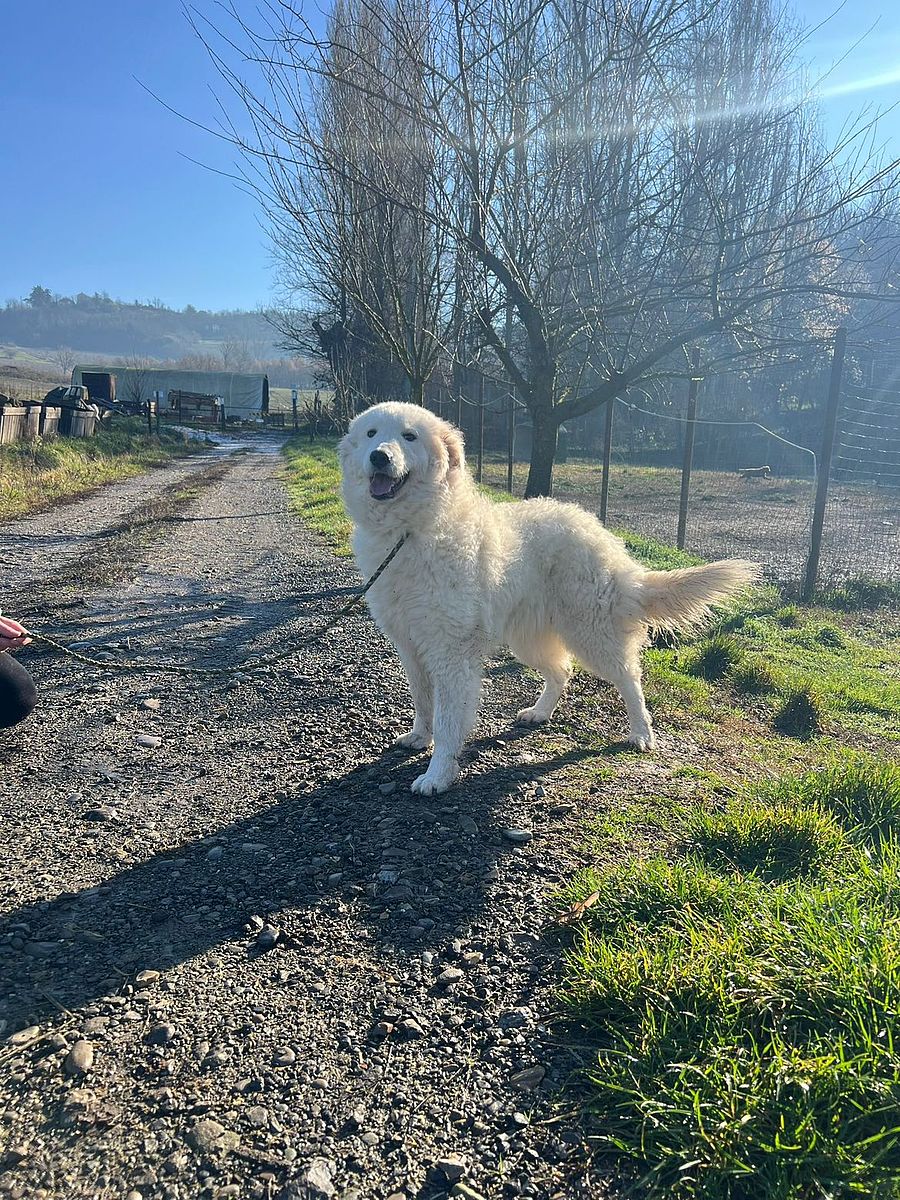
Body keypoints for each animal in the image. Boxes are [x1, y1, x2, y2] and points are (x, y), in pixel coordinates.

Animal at [339, 402, 757, 795]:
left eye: (409, 436)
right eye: (372, 433)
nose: (380, 456)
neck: (410, 530)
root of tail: (603, 536)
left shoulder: (451, 653)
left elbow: (447, 720)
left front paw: (438, 774)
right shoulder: (411, 646)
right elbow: (423, 702)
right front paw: (419, 738)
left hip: (591, 635)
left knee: (629, 679)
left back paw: (641, 733)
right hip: (529, 638)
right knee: (562, 671)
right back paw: (540, 713)